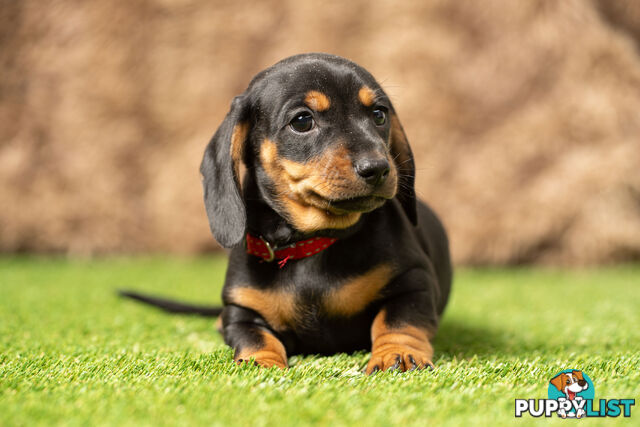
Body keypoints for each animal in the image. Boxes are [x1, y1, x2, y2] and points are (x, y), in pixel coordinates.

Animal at [122, 54, 452, 374]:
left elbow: (398, 321)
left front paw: (398, 353)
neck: (312, 243)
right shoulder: (243, 311)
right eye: (303, 121)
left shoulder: (415, 281)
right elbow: (255, 336)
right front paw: (261, 364)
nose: (378, 168)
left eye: (379, 115)